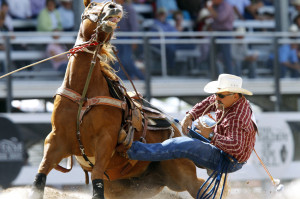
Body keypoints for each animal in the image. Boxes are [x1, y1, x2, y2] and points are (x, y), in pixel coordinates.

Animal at [29, 0, 209, 198]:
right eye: (91, 5)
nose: (113, 6)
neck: (83, 95)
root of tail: (175, 130)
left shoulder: (105, 142)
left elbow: (97, 180)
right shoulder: (55, 140)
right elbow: (40, 176)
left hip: (180, 172)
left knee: (199, 185)